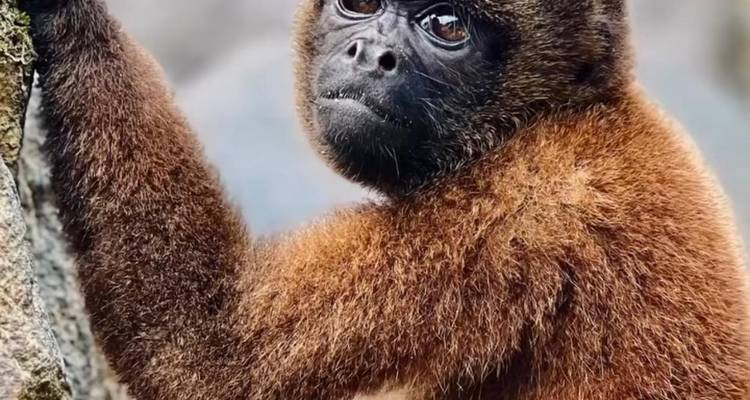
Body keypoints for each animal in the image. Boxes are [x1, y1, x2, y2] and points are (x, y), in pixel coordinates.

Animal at [21, 0, 750, 399]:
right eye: (360, 1)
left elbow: (212, 352)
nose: (370, 52)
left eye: (447, 24)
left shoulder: (524, 206)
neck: (561, 113)